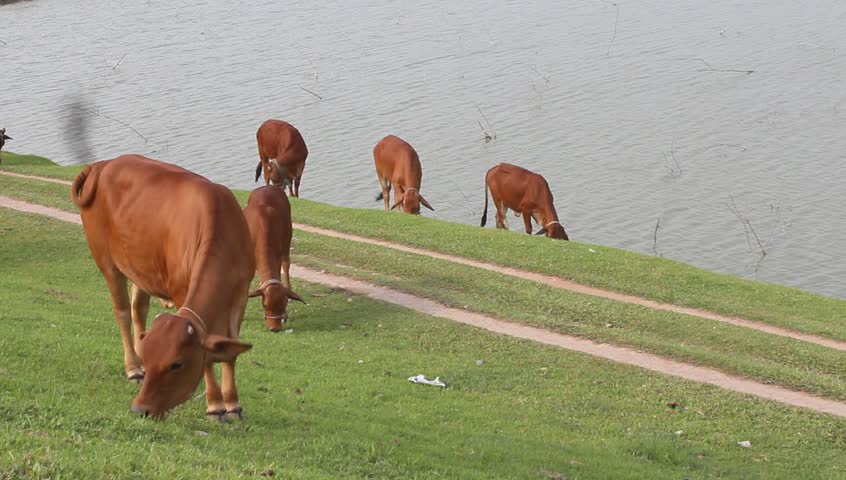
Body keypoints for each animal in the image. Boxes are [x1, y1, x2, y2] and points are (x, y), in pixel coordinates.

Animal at [71, 155, 255, 421]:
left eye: (176, 364)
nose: (140, 409)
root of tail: (103, 164)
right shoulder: (181, 291)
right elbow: (209, 356)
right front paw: (215, 405)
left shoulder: (241, 293)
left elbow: (230, 351)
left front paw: (233, 404)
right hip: (106, 261)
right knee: (122, 312)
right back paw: (133, 368)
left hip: (139, 264)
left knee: (138, 309)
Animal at [243, 186, 306, 332]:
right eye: (265, 305)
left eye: (283, 305)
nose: (275, 328)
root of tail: (267, 186)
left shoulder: (277, 256)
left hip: (288, 237)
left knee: (286, 264)